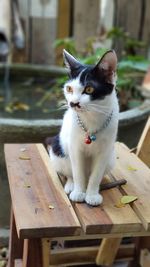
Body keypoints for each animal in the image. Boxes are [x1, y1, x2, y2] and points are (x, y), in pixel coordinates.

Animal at [46, 49, 119, 206]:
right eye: (69, 89)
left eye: (89, 89)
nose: (73, 103)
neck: (92, 117)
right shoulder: (75, 147)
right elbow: (77, 171)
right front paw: (79, 192)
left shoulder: (105, 150)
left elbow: (96, 174)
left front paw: (92, 194)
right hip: (58, 150)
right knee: (70, 171)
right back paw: (71, 185)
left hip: (111, 158)